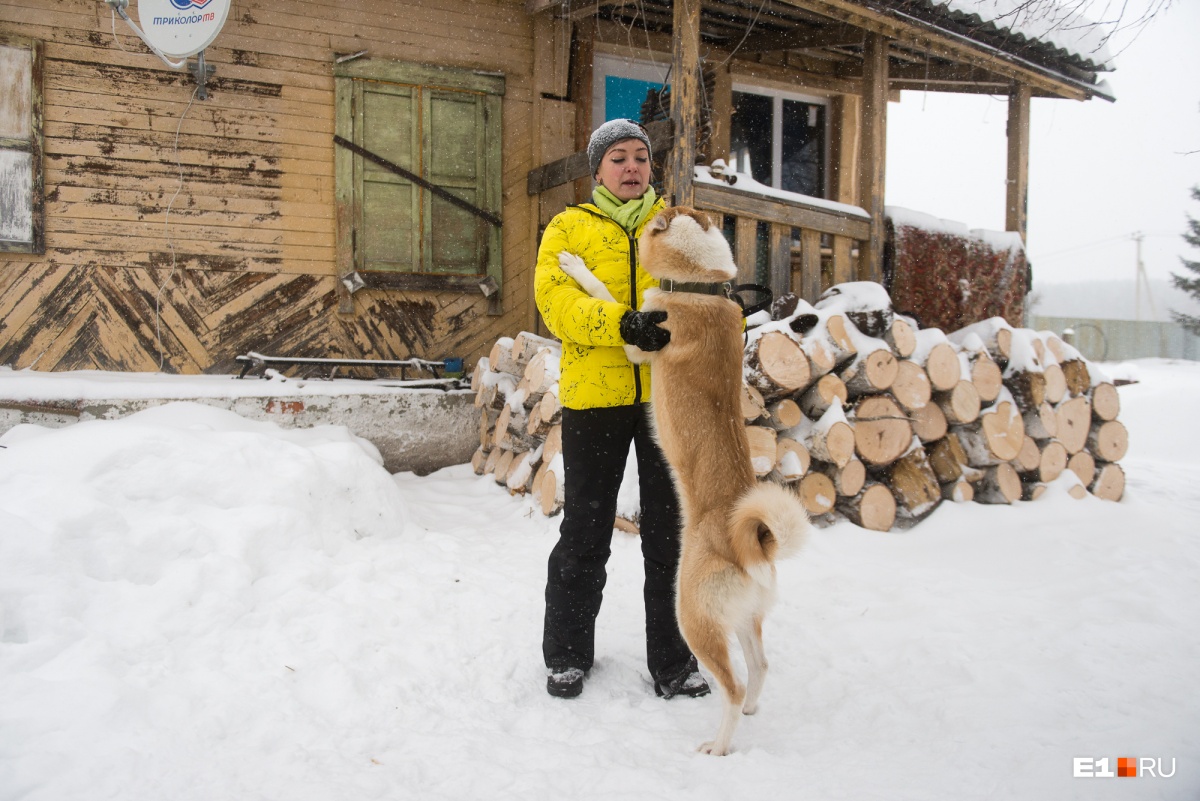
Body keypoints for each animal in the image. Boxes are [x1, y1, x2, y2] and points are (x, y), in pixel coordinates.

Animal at [559, 208, 806, 757]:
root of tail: (756, 537)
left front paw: (575, 264)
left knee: (731, 685)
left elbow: (611, 302)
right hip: (744, 620)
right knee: (760, 667)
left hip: (692, 615)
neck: (702, 286)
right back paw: (752, 710)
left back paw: (718, 745)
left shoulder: (638, 343)